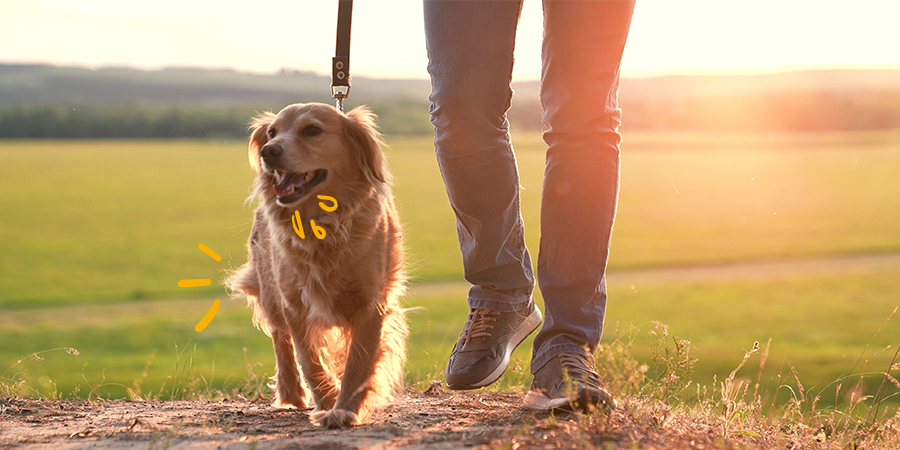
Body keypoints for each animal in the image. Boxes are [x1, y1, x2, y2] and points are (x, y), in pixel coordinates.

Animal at [225, 103, 408, 428]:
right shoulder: (295, 304)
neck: (322, 225)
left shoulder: (370, 304)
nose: (269, 151)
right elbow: (308, 359)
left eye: (313, 130)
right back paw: (291, 392)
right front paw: (326, 399)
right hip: (271, 292)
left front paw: (345, 408)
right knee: (280, 340)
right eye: (271, 132)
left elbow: (357, 362)